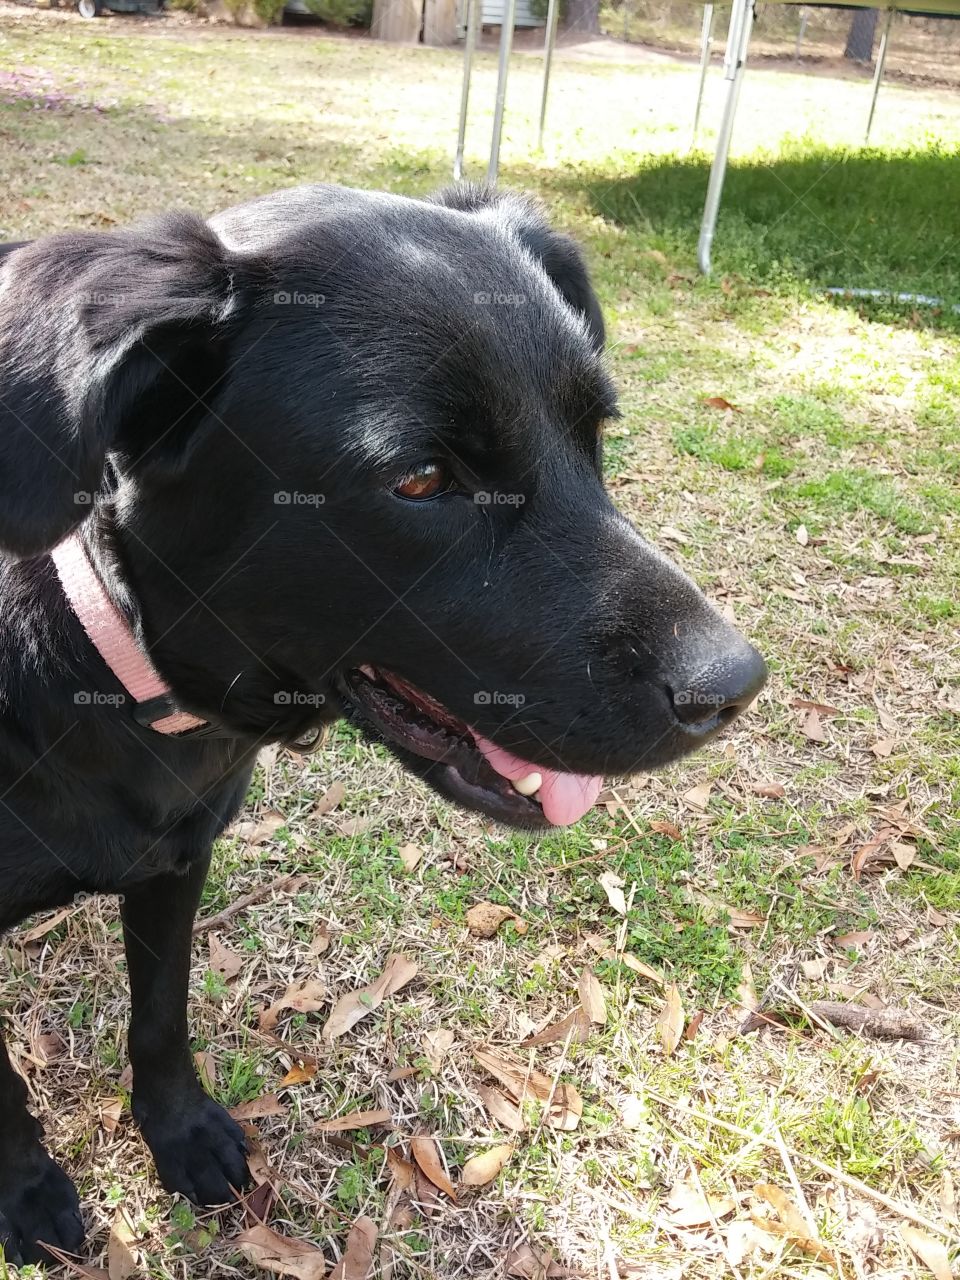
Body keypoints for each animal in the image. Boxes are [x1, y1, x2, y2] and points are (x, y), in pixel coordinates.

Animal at [0, 185, 768, 1264]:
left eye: (594, 434)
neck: (105, 651)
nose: (734, 685)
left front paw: (181, 1130)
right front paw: (26, 1191)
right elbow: (4, 1093)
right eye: (419, 481)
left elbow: (160, 1016)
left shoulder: (176, 861)